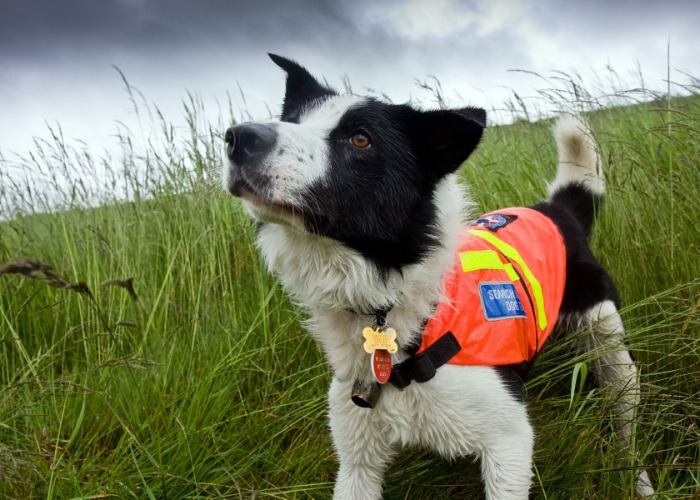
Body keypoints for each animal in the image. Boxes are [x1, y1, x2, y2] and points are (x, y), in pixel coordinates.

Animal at [221, 52, 652, 498]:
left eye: (361, 139)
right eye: (292, 119)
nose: (238, 137)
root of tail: (556, 209)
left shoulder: (509, 441)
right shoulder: (357, 459)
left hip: (611, 348)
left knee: (626, 425)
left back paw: (637, 480)